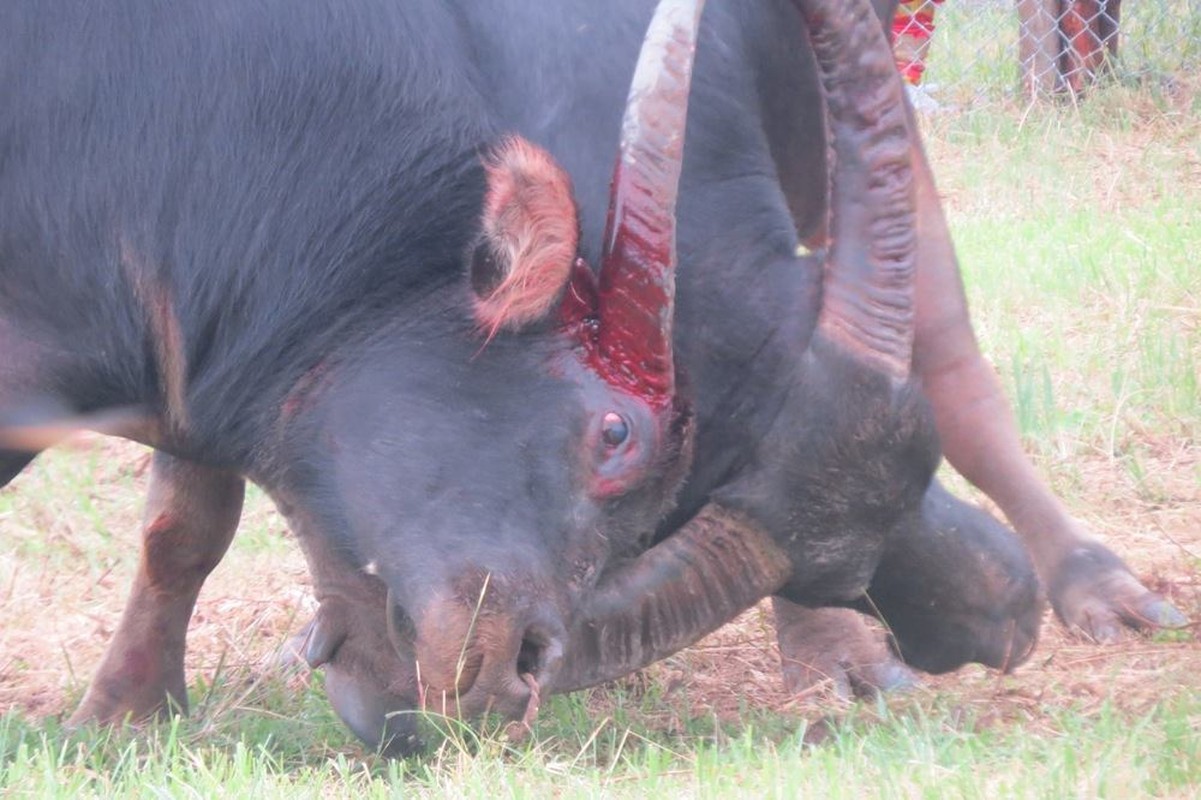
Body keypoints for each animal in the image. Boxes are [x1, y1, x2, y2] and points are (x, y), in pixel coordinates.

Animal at [0, 0, 1181, 749]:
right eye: (616, 433)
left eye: (667, 498)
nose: (509, 668)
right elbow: (184, 516)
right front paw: (127, 707)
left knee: (951, 353)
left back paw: (1076, 585)